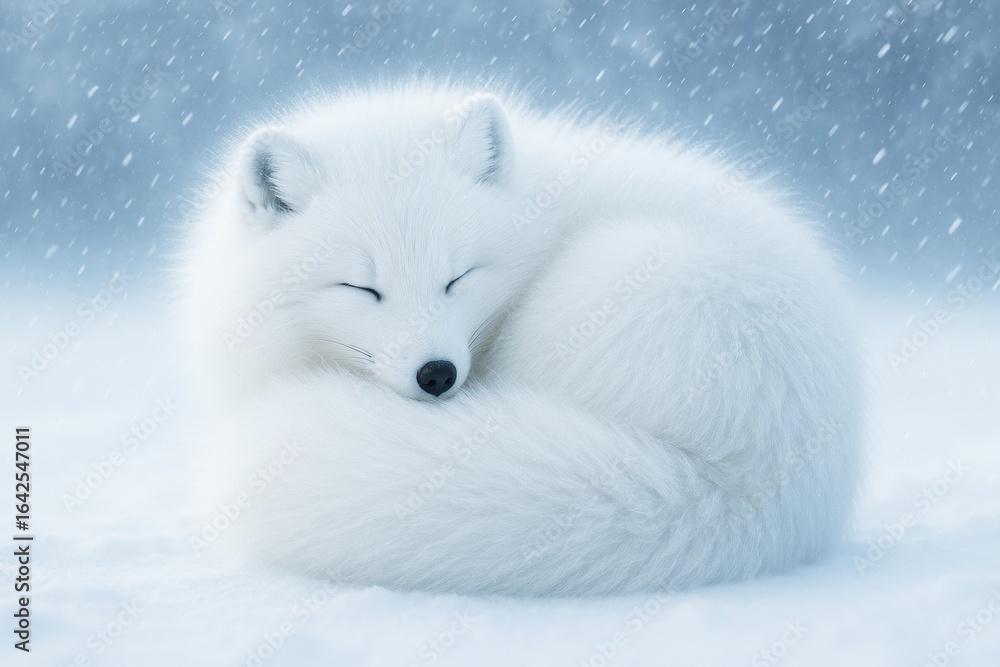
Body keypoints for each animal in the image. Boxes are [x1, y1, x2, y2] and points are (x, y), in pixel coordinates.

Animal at [178, 84, 865, 596]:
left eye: (458, 277)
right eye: (361, 288)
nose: (437, 375)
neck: (543, 213)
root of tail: (746, 481)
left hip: (618, 277)